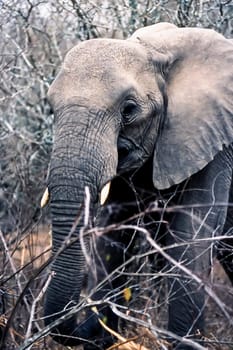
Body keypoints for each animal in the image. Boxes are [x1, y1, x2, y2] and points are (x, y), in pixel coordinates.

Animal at [43, 22, 233, 350]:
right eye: (51, 108)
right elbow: (113, 237)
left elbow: (190, 238)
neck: (154, 50)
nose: (87, 318)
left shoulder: (215, 138)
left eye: (129, 109)